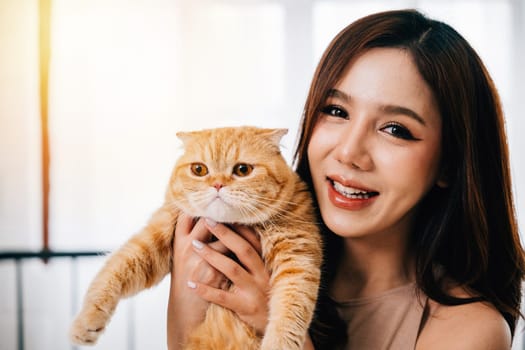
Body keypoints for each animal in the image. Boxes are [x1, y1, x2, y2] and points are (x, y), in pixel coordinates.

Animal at [69, 127, 322, 350]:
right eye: (199, 170)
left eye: (243, 170)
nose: (217, 184)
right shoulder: (158, 233)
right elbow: (113, 270)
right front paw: (86, 322)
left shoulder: (298, 260)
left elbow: (290, 311)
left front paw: (278, 343)